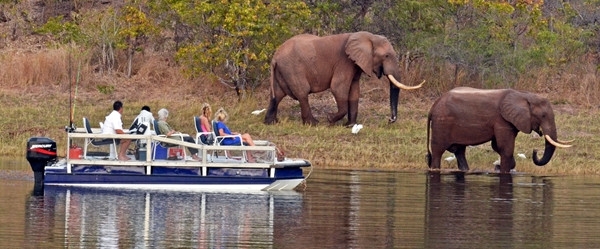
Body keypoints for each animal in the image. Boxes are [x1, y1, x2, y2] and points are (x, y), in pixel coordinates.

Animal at [264, 31, 424, 126]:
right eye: (386, 56)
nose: (390, 120)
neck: (367, 37)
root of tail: (275, 56)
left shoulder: (355, 64)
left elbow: (354, 91)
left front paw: (350, 125)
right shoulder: (345, 61)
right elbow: (338, 88)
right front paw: (330, 119)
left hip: (283, 70)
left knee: (276, 95)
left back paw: (271, 122)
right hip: (292, 68)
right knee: (302, 93)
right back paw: (313, 123)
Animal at [426, 87, 572, 173]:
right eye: (543, 116)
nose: (535, 150)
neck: (523, 95)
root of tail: (433, 106)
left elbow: (497, 146)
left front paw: (497, 167)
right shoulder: (502, 120)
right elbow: (505, 148)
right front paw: (502, 170)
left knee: (459, 151)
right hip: (441, 123)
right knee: (438, 151)